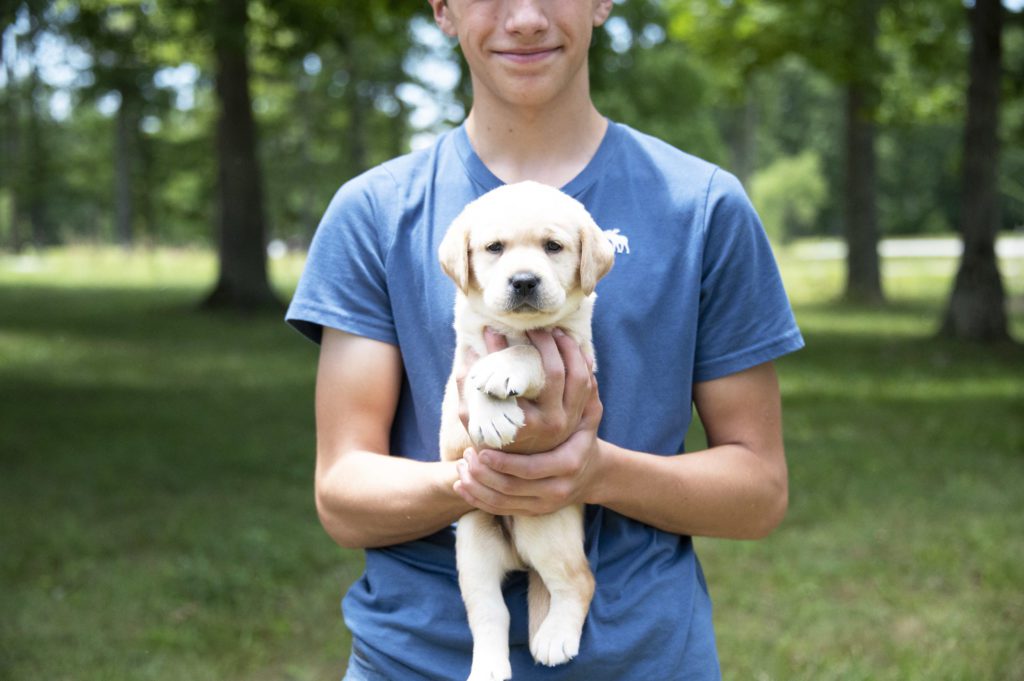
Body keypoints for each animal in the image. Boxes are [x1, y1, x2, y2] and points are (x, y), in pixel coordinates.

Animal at [440, 180, 614, 679]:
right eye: (494, 248)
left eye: (553, 247)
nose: (523, 281)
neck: (517, 329)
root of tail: (520, 556)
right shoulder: (466, 353)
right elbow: (475, 371)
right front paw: (490, 413)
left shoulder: (574, 350)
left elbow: (530, 353)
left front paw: (506, 370)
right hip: (474, 546)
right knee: (489, 612)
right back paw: (488, 668)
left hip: (545, 528)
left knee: (579, 581)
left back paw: (555, 638)